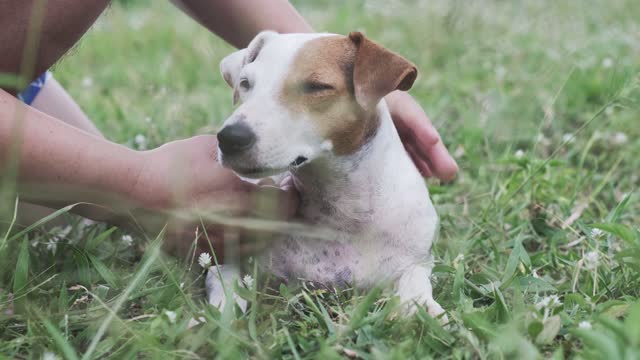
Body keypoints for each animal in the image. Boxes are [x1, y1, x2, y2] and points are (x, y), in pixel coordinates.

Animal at [205, 30, 444, 318]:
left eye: (317, 87)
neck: (340, 209)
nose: (230, 138)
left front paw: (421, 308)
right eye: (245, 83)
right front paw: (219, 314)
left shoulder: (415, 259)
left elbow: (415, 280)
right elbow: (225, 278)